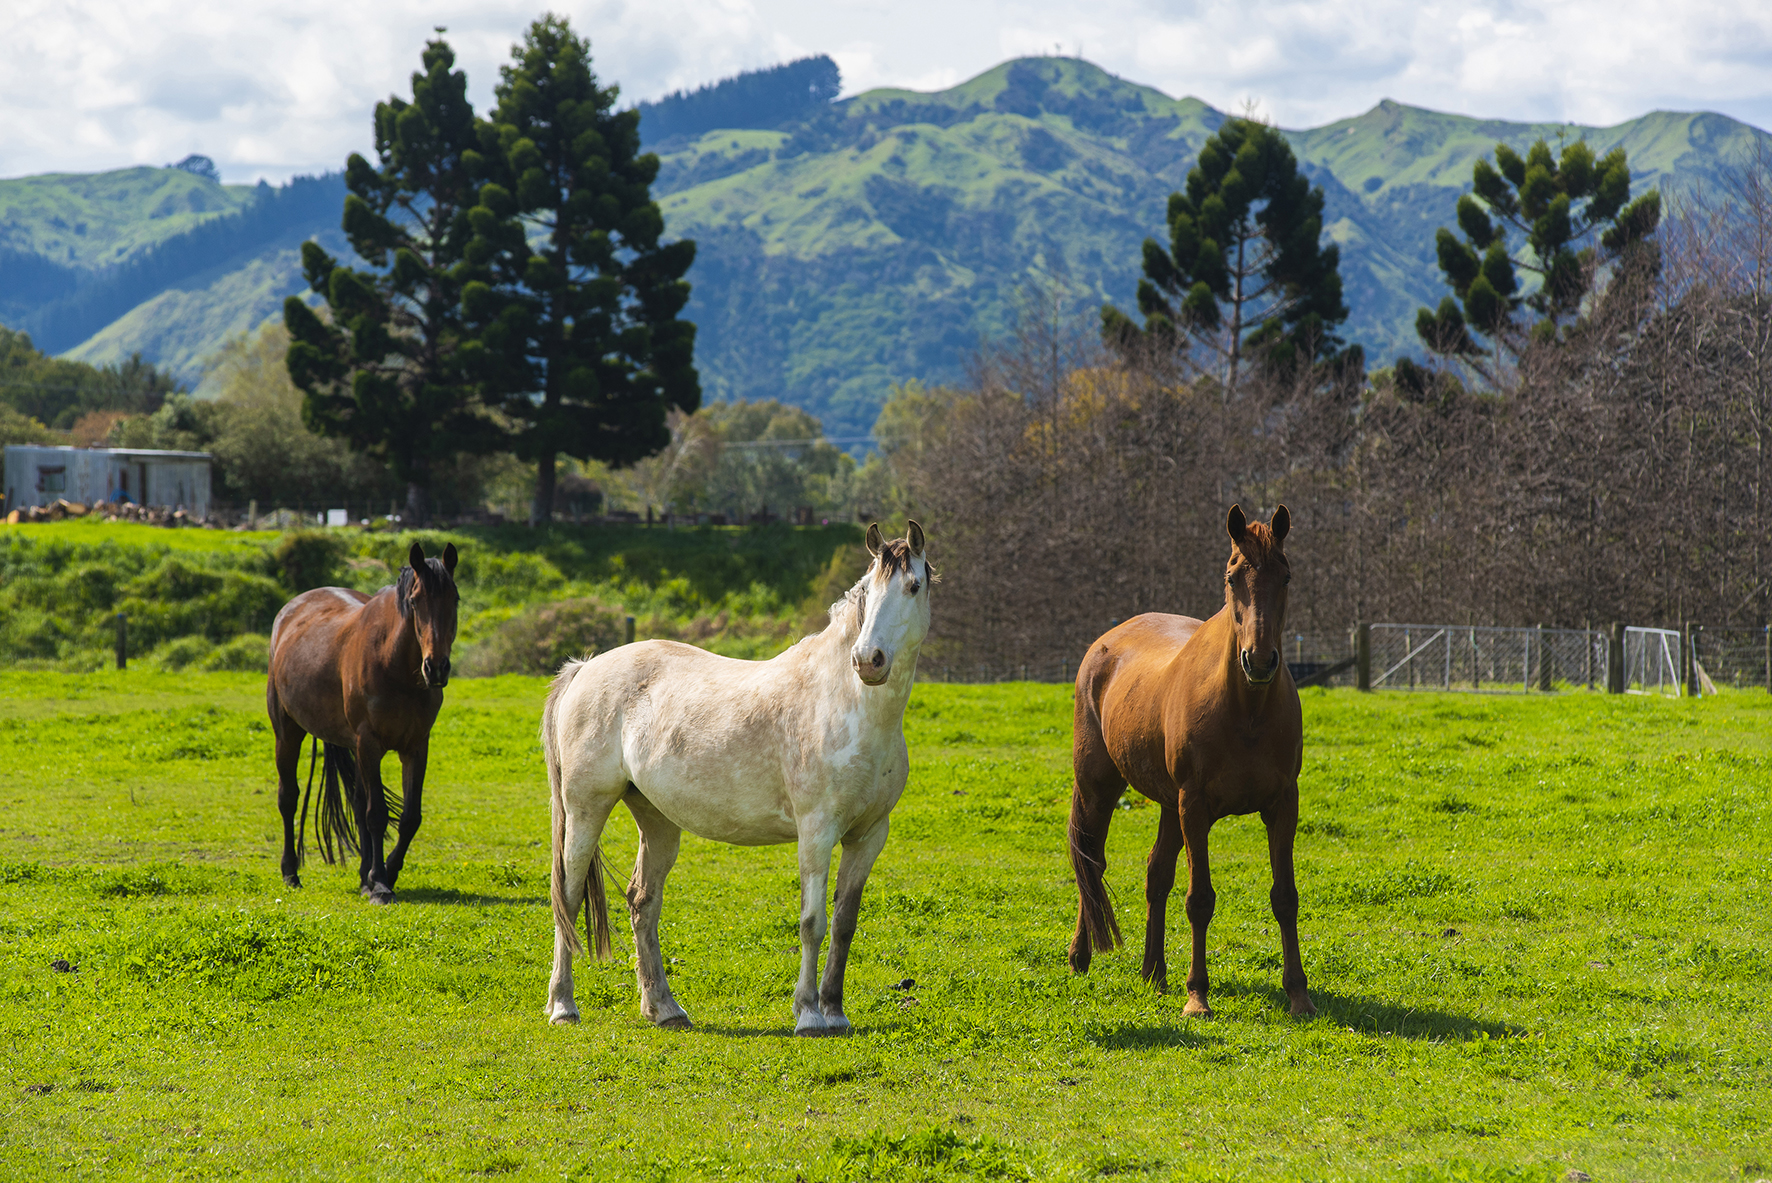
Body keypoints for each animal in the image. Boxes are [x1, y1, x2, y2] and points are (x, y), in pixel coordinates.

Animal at [269, 541, 460, 899]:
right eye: (414, 601)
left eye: (454, 599)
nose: (436, 668)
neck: (395, 664)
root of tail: (289, 610)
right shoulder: (369, 743)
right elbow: (377, 814)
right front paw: (381, 883)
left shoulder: (416, 746)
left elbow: (409, 817)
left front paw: (386, 871)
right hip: (287, 732)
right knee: (288, 798)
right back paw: (290, 873)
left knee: (357, 803)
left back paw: (362, 877)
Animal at [538, 520, 935, 1027]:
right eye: (868, 589)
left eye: (914, 586)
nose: (868, 660)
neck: (846, 706)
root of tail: (586, 667)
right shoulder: (816, 832)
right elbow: (812, 923)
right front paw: (809, 1014)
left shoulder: (868, 836)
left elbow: (844, 923)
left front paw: (835, 1011)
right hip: (586, 809)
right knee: (568, 898)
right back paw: (563, 1005)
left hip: (657, 819)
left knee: (643, 901)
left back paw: (664, 1008)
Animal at [1056, 502, 1311, 1012]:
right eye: (1232, 576)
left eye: (1287, 575)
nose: (1259, 660)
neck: (1246, 710)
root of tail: (1103, 644)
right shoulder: (1195, 807)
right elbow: (1200, 900)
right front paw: (1198, 996)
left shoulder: (1281, 806)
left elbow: (1285, 897)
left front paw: (1298, 994)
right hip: (1100, 788)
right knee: (1091, 862)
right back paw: (1080, 956)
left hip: (1166, 804)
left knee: (1156, 874)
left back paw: (1154, 970)